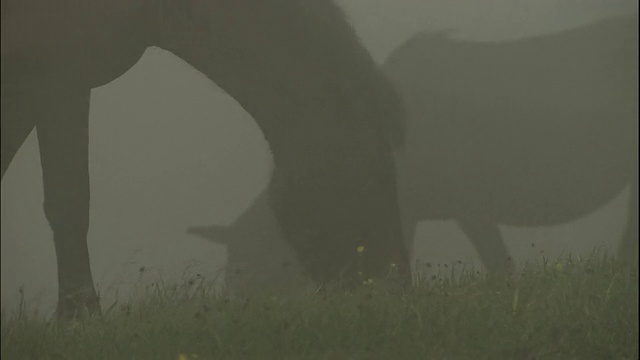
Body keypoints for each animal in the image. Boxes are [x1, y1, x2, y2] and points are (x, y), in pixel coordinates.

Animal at [0, 0, 408, 316]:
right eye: (375, 175)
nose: (394, 285)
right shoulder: (59, 80)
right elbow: (69, 205)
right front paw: (79, 315)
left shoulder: (25, 88)